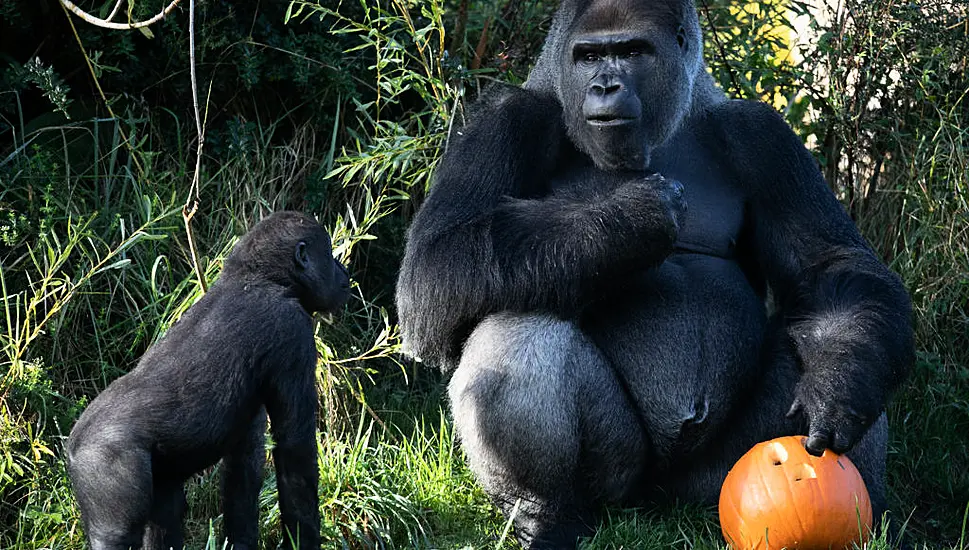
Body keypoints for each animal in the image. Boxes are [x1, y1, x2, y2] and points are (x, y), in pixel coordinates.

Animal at [67, 211, 348, 550]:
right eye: (329, 255)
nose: (342, 271)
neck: (257, 277)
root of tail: (73, 447)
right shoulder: (293, 330)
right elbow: (295, 452)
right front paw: (304, 541)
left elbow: (245, 461)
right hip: (102, 462)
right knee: (115, 534)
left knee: (165, 508)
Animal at [394, 0, 916, 548]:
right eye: (588, 56)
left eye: (632, 52)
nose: (605, 85)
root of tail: (663, 503)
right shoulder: (503, 122)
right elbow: (436, 266)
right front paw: (631, 218)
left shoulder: (761, 136)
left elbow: (831, 268)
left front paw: (841, 385)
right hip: (623, 483)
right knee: (515, 325)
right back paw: (545, 515)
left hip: (714, 481)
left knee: (833, 332)